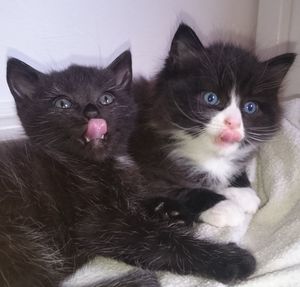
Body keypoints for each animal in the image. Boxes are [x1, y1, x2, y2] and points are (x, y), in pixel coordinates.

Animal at [131, 23, 296, 228]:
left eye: (250, 107)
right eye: (211, 98)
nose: (232, 122)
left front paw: (242, 191)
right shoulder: (145, 160)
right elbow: (174, 188)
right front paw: (225, 207)